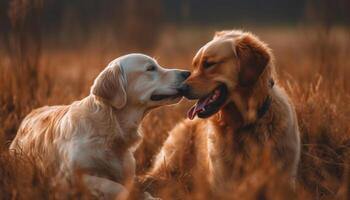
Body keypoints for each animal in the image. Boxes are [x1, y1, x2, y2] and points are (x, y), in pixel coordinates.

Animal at [9, 52, 189, 198]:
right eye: (150, 68)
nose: (187, 73)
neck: (110, 128)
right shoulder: (67, 177)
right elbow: (113, 186)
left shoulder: (128, 175)